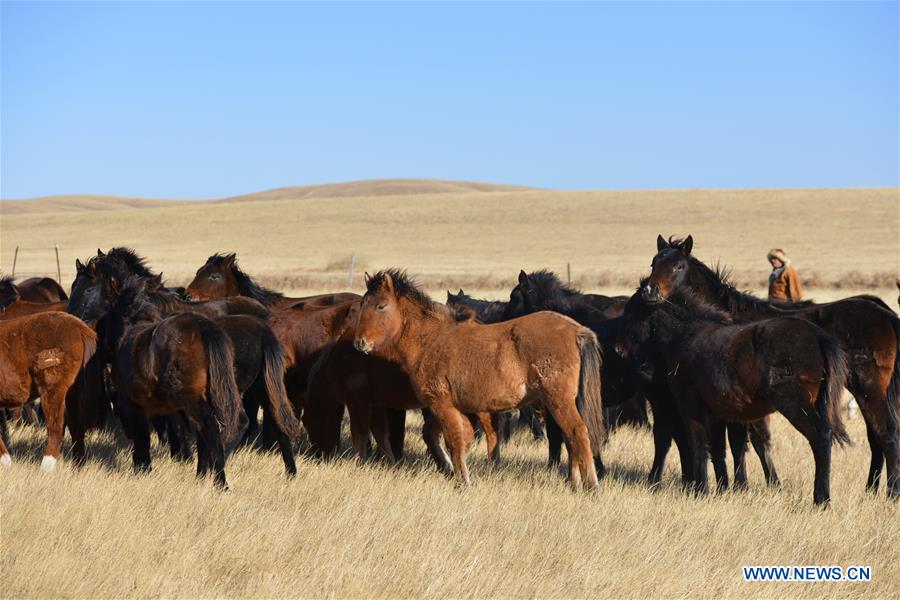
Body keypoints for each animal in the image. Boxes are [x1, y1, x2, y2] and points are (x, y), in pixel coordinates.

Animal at [0, 312, 97, 472]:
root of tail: (79, 327)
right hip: (73, 393)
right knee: (76, 428)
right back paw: (76, 469)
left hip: (52, 389)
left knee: (56, 428)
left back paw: (46, 468)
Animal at [352, 270, 604, 490]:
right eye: (362, 304)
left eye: (381, 305)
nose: (359, 343)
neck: (431, 340)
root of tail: (577, 330)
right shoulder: (451, 408)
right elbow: (445, 438)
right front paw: (451, 471)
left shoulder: (441, 404)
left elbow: (454, 440)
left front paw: (462, 482)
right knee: (569, 438)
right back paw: (573, 483)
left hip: (558, 401)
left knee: (578, 433)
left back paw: (591, 486)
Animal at [616, 288, 848, 504]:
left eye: (633, 312)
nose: (618, 350)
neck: (685, 335)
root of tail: (817, 335)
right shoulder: (719, 415)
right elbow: (720, 450)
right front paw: (724, 489)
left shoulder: (692, 410)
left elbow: (699, 448)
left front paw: (701, 491)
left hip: (795, 405)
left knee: (820, 437)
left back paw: (821, 499)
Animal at [648, 234, 900, 496]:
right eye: (653, 263)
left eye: (678, 266)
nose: (650, 291)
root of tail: (884, 314)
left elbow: (747, 442)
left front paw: (752, 484)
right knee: (876, 437)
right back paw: (871, 488)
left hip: (868, 389)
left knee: (886, 434)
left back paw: (891, 492)